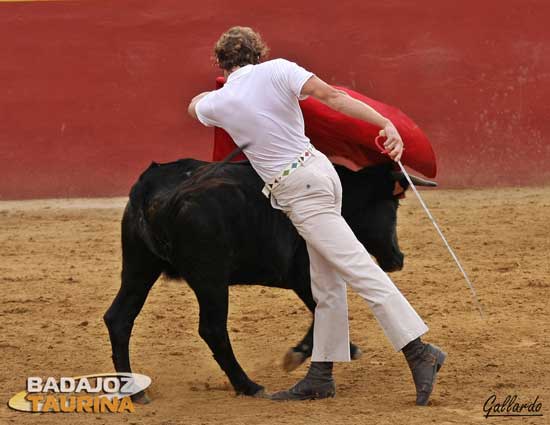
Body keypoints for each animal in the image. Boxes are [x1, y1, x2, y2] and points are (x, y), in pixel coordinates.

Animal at [104, 157, 436, 398]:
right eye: (393, 205)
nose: (397, 258)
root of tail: (152, 187)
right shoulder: (305, 275)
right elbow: (322, 310)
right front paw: (308, 353)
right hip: (210, 278)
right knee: (212, 329)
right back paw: (248, 386)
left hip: (139, 268)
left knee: (119, 318)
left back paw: (134, 391)